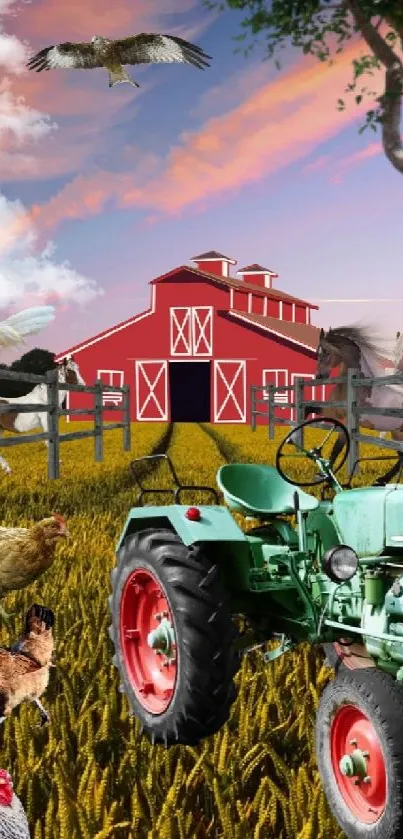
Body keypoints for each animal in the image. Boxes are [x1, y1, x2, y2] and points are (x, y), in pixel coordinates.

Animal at [316, 324, 403, 486]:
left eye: (327, 352)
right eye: (317, 351)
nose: (319, 376)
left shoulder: (346, 423)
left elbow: (336, 449)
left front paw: (327, 479)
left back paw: (381, 480)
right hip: (396, 433)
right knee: (401, 456)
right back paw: (381, 480)